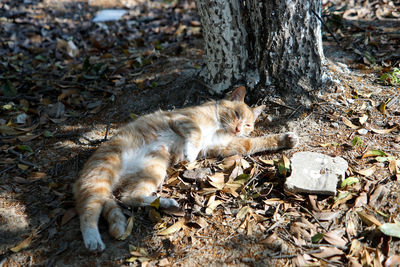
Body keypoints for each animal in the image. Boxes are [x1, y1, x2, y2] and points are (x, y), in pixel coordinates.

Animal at [73, 87, 298, 252]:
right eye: (236, 114)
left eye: (248, 125)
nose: (237, 129)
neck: (219, 124)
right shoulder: (183, 118)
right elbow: (196, 131)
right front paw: (190, 152)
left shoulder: (227, 145)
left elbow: (255, 143)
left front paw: (285, 139)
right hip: (104, 171)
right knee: (87, 210)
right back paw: (93, 239)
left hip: (153, 169)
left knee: (129, 197)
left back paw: (167, 203)